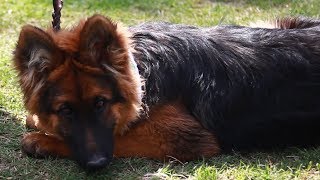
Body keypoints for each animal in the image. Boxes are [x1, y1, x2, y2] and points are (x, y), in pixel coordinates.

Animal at [13, 14, 320, 170]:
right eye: (65, 110)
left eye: (101, 103)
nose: (97, 163)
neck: (140, 69)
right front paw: (40, 124)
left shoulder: (182, 137)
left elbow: (121, 138)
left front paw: (42, 140)